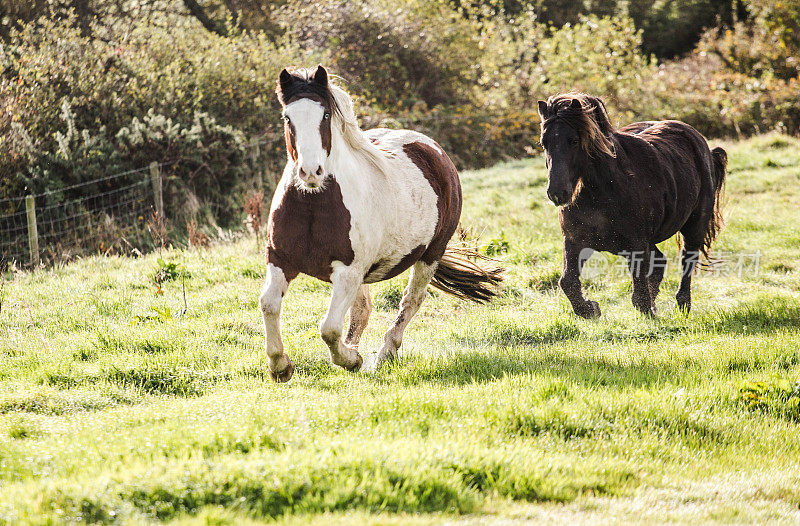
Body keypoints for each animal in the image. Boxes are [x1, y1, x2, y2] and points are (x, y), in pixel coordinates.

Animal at [260, 67, 500, 384]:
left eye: (325, 115)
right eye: (288, 117)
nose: (311, 172)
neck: (313, 204)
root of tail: (431, 148)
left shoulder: (348, 271)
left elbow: (329, 328)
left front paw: (351, 361)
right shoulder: (280, 260)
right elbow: (269, 304)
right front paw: (280, 366)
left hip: (430, 254)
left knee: (412, 300)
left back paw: (386, 352)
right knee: (362, 309)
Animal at [536, 94, 728, 318]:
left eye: (574, 141)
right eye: (543, 143)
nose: (557, 193)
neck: (602, 191)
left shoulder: (636, 244)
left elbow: (639, 292)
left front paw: (649, 313)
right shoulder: (575, 241)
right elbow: (567, 281)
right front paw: (591, 309)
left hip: (694, 224)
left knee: (687, 260)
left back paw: (682, 305)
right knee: (660, 263)